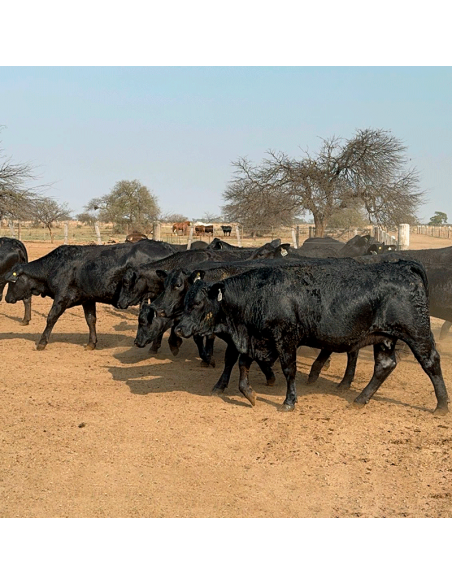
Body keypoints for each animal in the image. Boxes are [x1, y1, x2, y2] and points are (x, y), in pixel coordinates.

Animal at [5, 238, 176, 350]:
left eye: (12, 281)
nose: (7, 298)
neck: (56, 265)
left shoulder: (62, 298)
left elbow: (51, 318)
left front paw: (42, 343)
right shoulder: (87, 299)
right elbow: (90, 320)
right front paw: (91, 343)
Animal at [174, 260, 448, 416]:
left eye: (197, 303)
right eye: (186, 300)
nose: (177, 328)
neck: (258, 295)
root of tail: (403, 267)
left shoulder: (285, 340)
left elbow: (289, 370)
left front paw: (289, 401)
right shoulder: (255, 341)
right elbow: (242, 365)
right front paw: (250, 395)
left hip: (416, 332)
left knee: (431, 362)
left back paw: (442, 405)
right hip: (384, 338)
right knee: (384, 366)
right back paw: (360, 400)